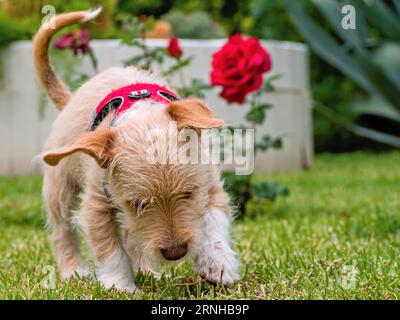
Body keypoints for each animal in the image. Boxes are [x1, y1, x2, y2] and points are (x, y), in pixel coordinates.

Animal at [32, 9, 239, 292]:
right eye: (139, 203)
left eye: (188, 194)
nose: (175, 253)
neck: (142, 115)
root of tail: (70, 99)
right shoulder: (96, 205)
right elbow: (109, 248)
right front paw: (121, 286)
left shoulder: (211, 184)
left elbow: (214, 222)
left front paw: (218, 264)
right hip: (60, 187)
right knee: (62, 232)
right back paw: (74, 271)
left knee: (134, 238)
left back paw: (148, 271)